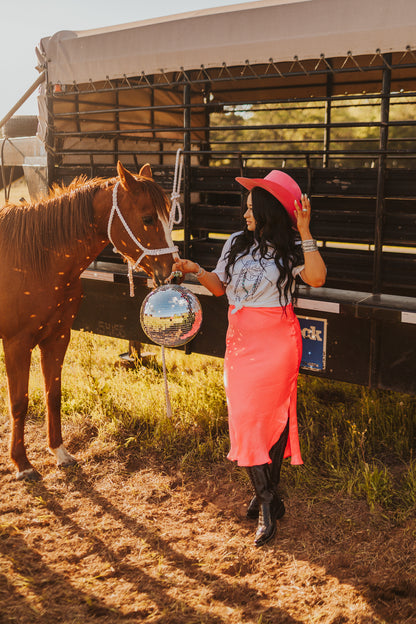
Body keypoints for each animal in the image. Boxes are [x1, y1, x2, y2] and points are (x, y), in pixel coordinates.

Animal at [0, 160, 177, 478]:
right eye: (147, 218)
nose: (170, 271)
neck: (35, 258)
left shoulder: (57, 337)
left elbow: (53, 394)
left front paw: (59, 451)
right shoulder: (16, 343)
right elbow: (19, 402)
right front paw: (22, 463)